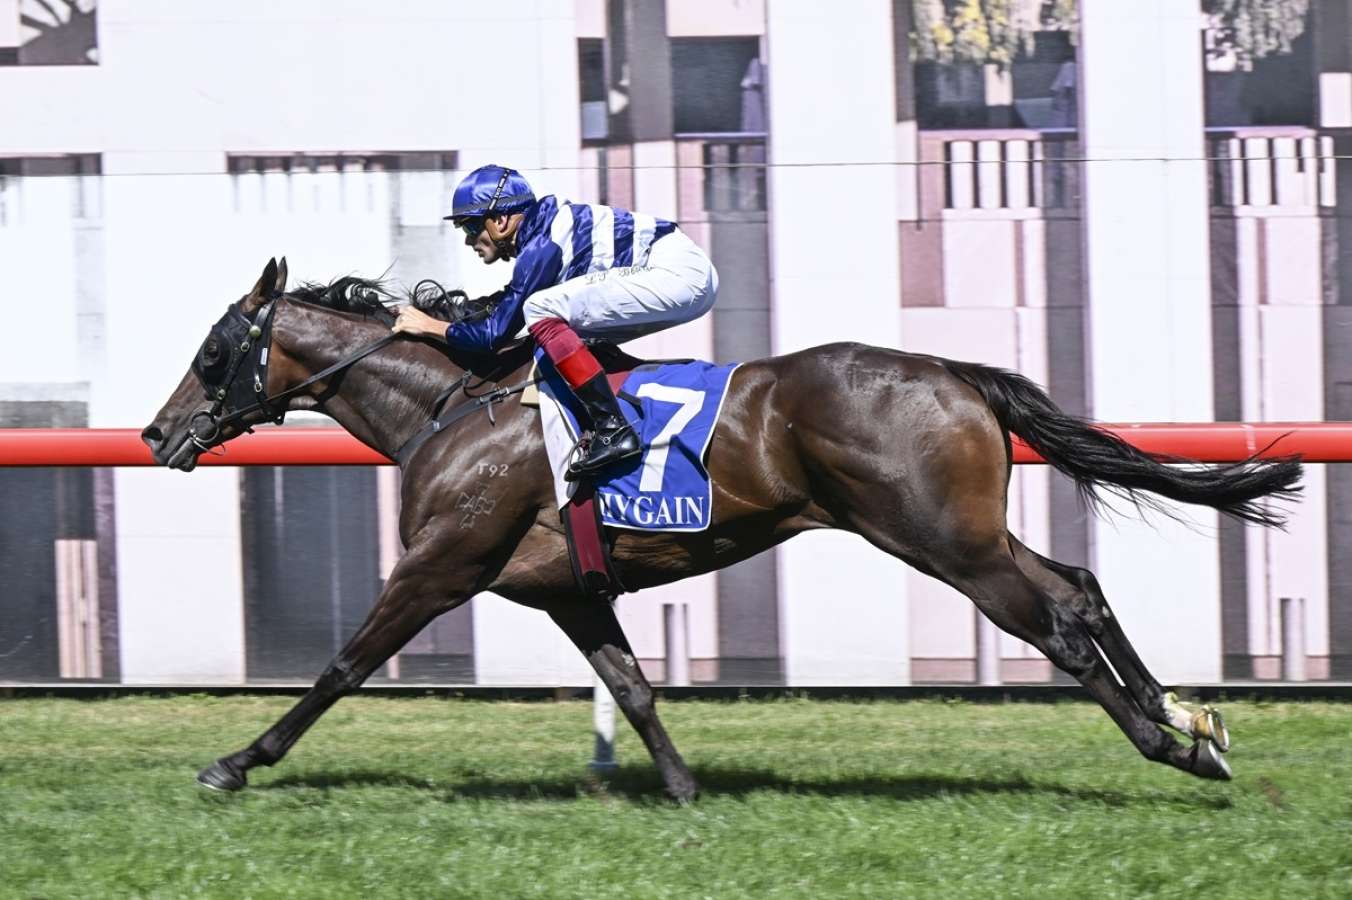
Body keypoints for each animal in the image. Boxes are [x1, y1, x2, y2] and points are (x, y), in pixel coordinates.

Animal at [142, 258, 1302, 799]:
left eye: (212, 350)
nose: (156, 434)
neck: (454, 408)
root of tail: (952, 370)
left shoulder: (441, 564)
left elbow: (342, 666)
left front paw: (237, 761)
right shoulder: (566, 592)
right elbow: (633, 687)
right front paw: (682, 786)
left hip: (941, 541)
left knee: (1055, 616)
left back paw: (1168, 744)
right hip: (962, 529)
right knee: (1079, 586)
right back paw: (1194, 723)